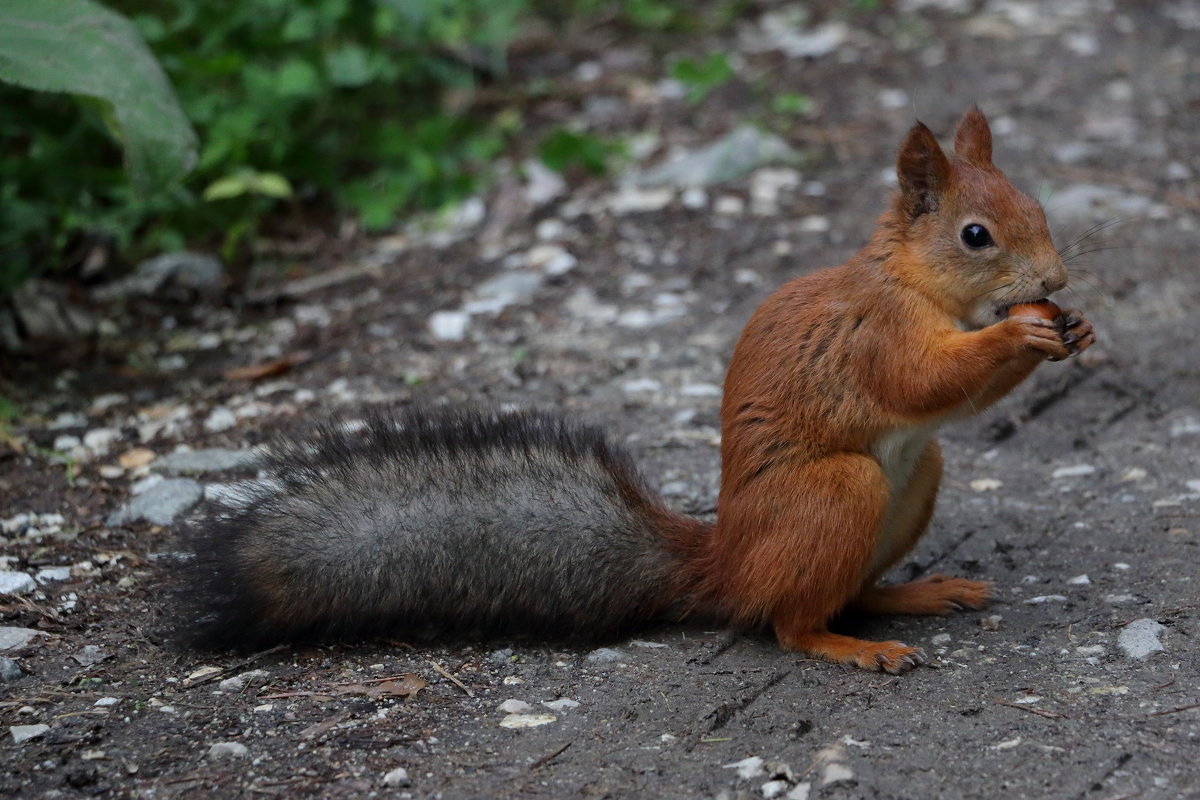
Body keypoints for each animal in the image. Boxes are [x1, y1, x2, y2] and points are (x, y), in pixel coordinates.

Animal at [180, 104, 1099, 671]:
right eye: (976, 235)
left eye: (1034, 202)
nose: (1055, 278)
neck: (913, 282)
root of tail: (727, 565)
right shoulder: (877, 337)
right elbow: (926, 380)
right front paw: (1019, 331)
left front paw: (1075, 328)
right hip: (838, 491)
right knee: (789, 622)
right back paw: (850, 646)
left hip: (915, 480)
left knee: (852, 592)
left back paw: (917, 593)